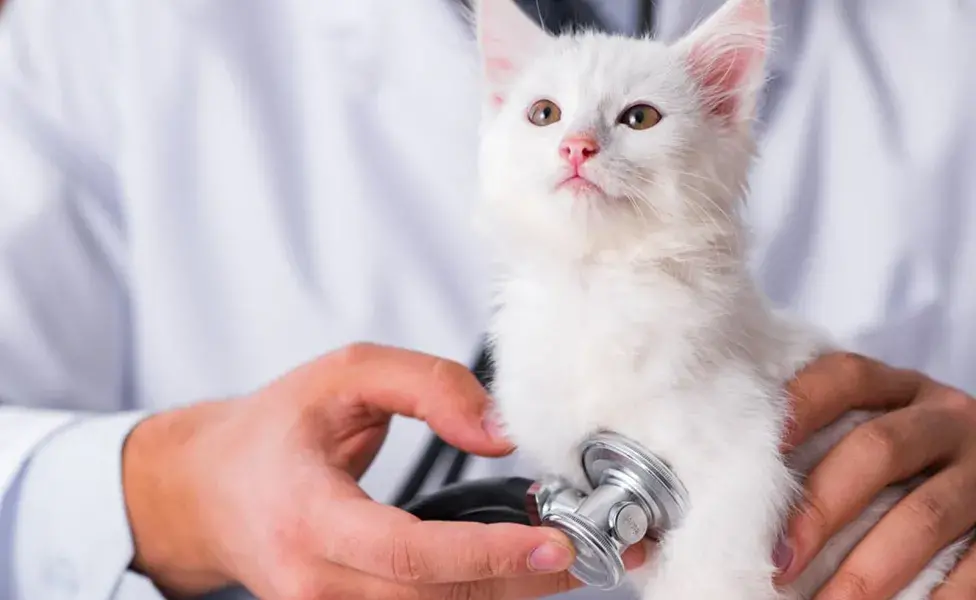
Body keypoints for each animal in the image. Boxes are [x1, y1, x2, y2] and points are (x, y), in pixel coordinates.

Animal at [472, 1, 968, 600]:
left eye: (640, 119)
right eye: (544, 113)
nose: (577, 147)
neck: (596, 286)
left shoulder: (742, 464)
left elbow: (712, 568)